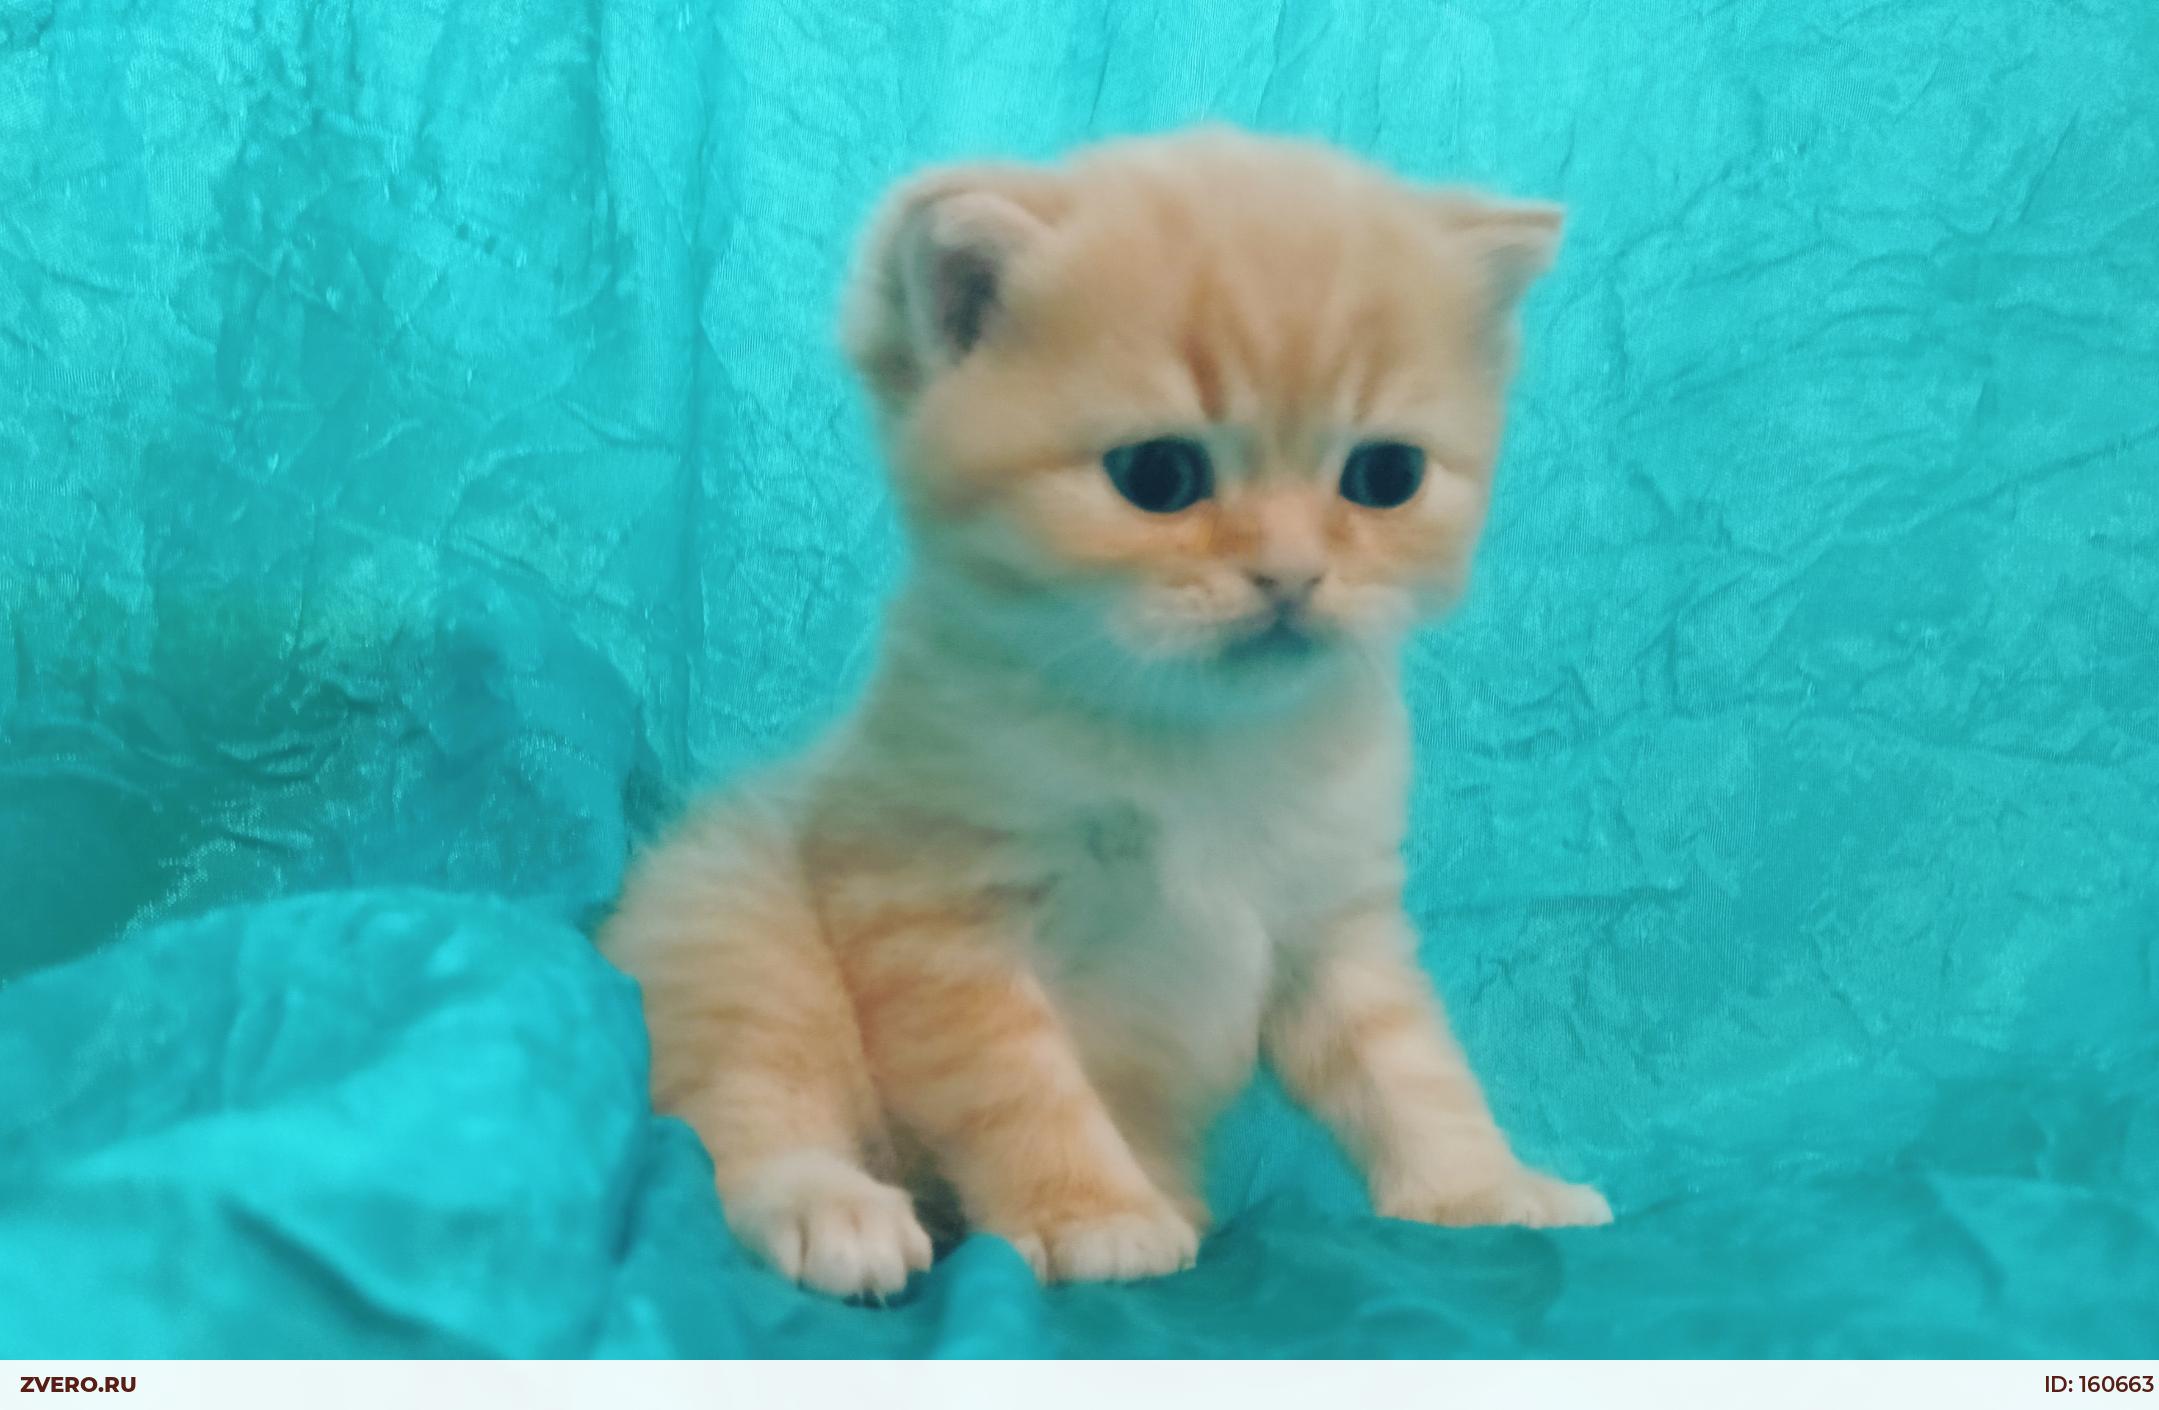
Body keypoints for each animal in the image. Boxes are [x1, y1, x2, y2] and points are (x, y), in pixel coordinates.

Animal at [601, 127, 1610, 1299]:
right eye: (1159, 475)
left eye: (1384, 476)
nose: (1292, 576)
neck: (1195, 743)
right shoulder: (938, 919)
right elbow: (1021, 1091)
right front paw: (1086, 1212)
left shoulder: (1333, 924)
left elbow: (1411, 1069)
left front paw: (1485, 1186)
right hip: (739, 927)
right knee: (729, 1121)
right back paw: (832, 1209)